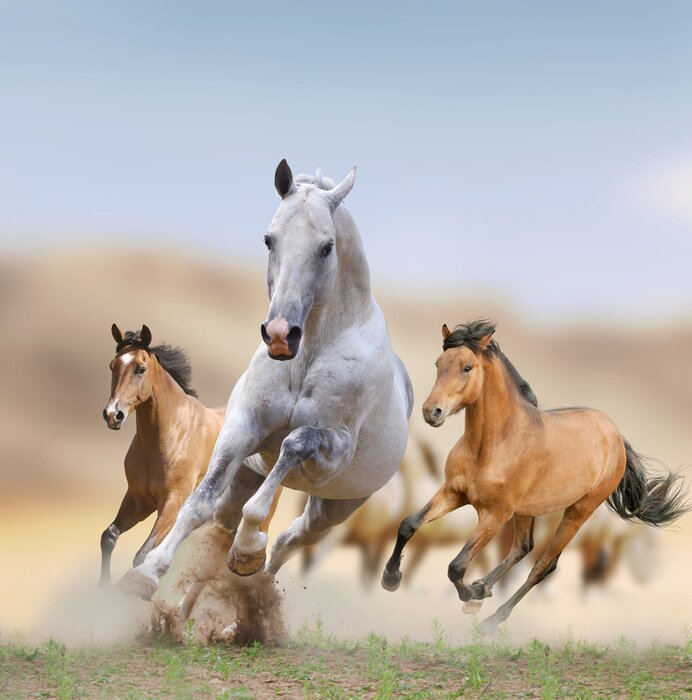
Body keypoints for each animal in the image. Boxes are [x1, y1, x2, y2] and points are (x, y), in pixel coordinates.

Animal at [100, 324, 226, 586]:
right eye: (112, 366)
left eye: (141, 369)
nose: (112, 415)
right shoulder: (138, 499)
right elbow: (109, 536)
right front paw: (103, 586)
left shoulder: (172, 503)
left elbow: (143, 555)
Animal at [118, 160, 413, 601]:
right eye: (269, 239)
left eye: (327, 247)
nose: (279, 335)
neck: (307, 355)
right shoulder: (242, 428)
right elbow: (198, 504)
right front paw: (146, 574)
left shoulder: (332, 450)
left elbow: (292, 447)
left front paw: (247, 548)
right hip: (248, 476)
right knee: (223, 530)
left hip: (332, 509)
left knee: (289, 541)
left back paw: (251, 578)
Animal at [382, 319, 688, 634]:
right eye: (439, 363)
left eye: (467, 367)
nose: (431, 412)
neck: (491, 444)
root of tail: (615, 435)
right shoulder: (454, 493)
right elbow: (408, 524)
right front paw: (391, 579)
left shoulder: (495, 514)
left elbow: (456, 565)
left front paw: (471, 593)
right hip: (527, 511)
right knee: (523, 548)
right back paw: (483, 590)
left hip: (577, 512)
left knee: (543, 565)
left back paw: (491, 618)